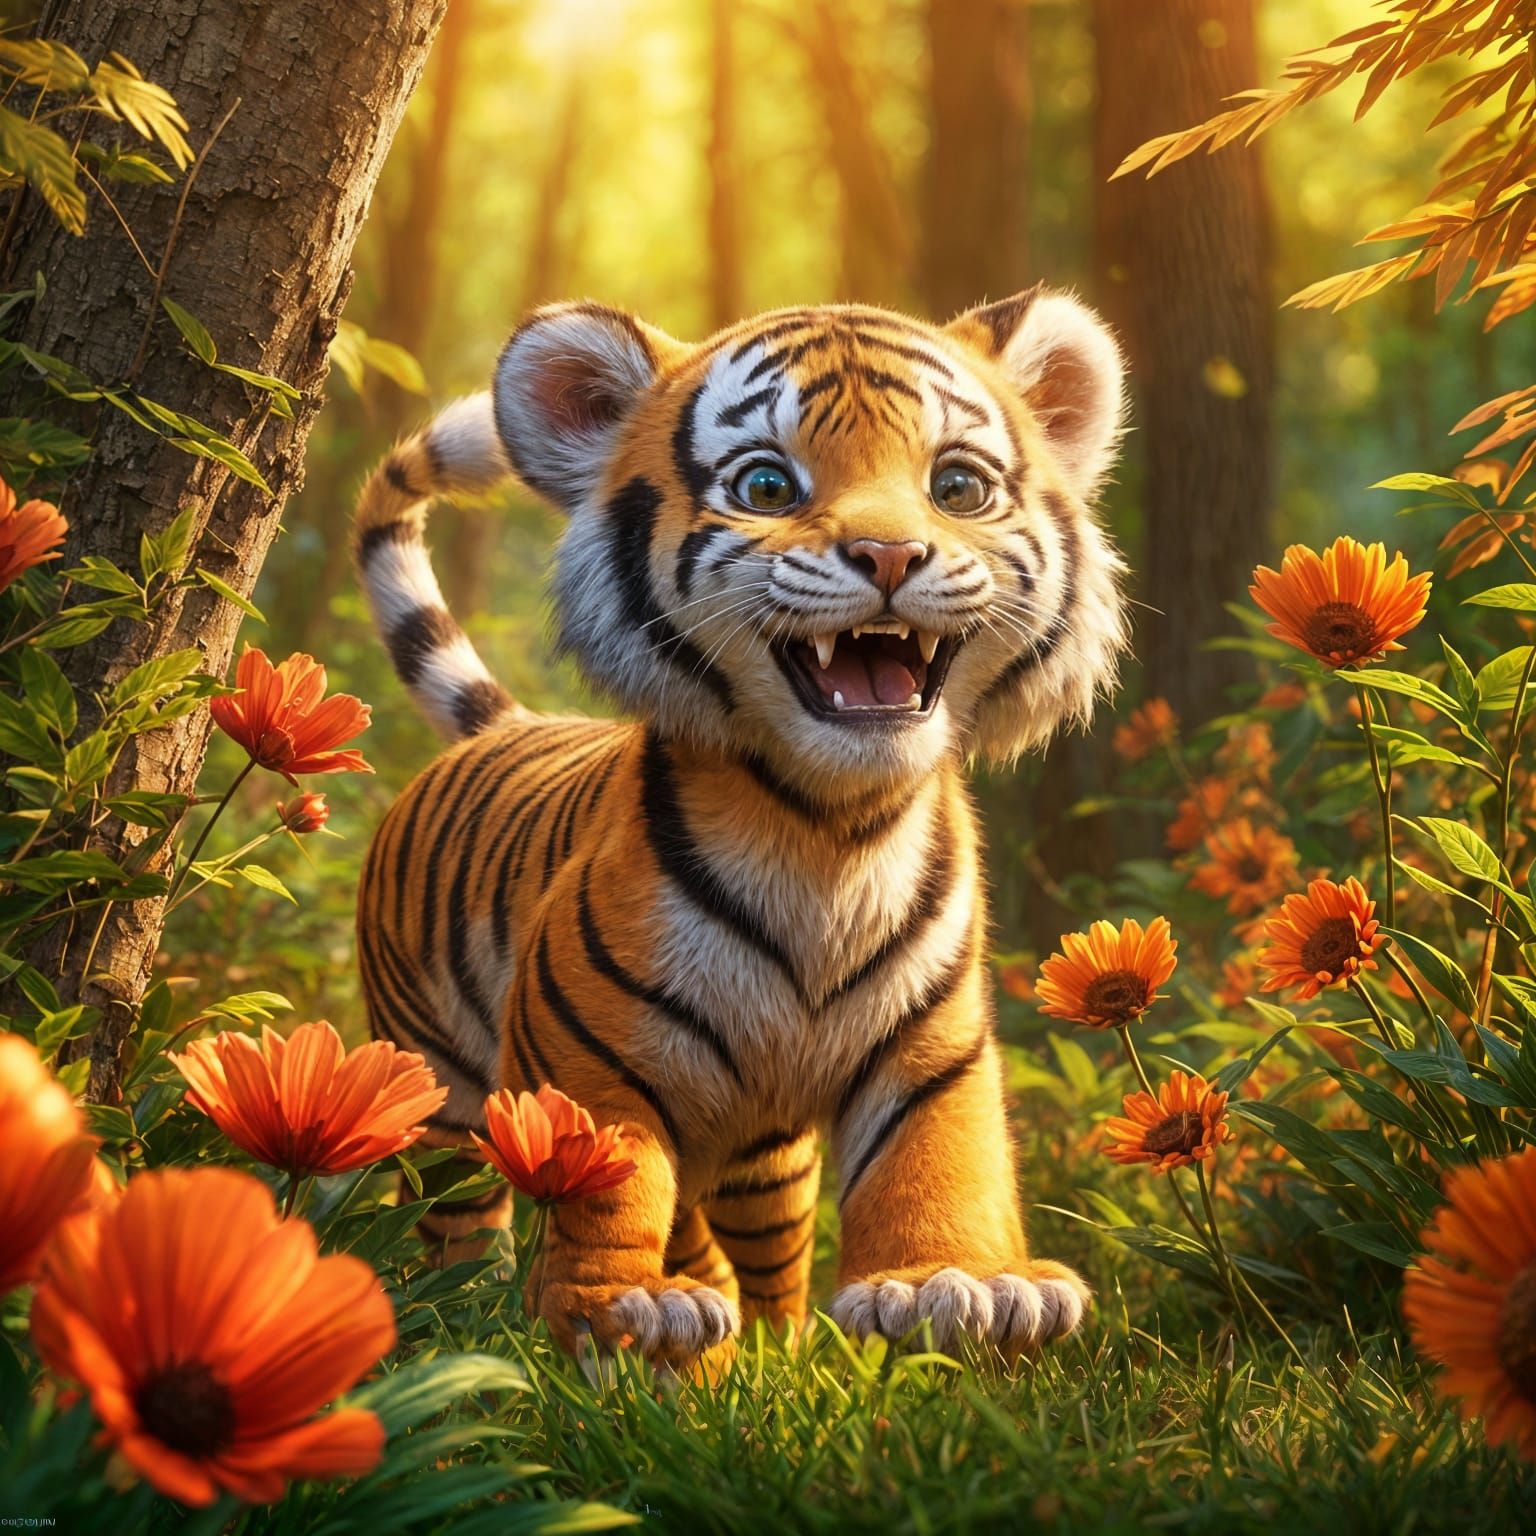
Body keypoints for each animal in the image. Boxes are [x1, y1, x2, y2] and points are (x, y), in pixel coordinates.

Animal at [351, 286, 1129, 1367]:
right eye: (766, 484)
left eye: (958, 487)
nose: (891, 554)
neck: (831, 831)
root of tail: (508, 723)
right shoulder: (585, 1047)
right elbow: (606, 1176)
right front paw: (619, 1308)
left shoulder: (933, 1042)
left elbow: (941, 1152)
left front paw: (952, 1285)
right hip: (440, 1081)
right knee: (459, 1205)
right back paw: (467, 1315)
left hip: (765, 1157)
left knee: (760, 1252)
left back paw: (770, 1355)